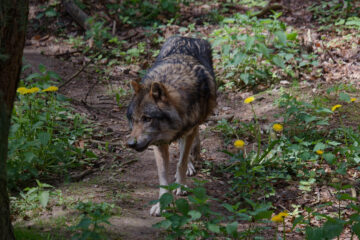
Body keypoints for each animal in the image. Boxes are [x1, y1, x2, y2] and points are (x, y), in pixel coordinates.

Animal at [126, 35, 217, 216]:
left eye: (147, 118)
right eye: (133, 119)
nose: (130, 144)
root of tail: (187, 37)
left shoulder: (188, 130)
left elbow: (181, 163)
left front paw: (181, 187)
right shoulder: (159, 143)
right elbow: (163, 176)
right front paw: (161, 204)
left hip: (196, 123)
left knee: (191, 143)